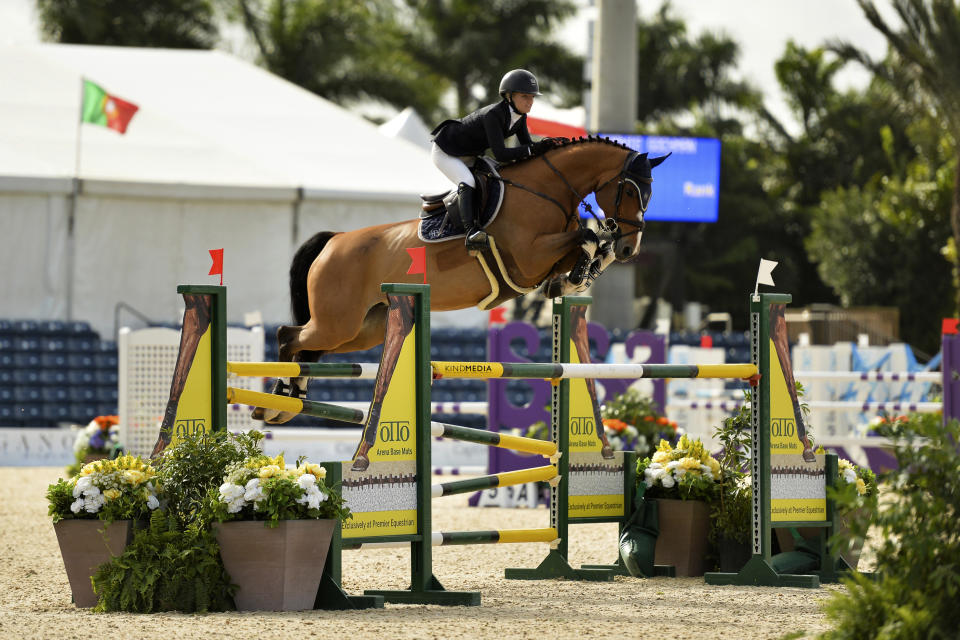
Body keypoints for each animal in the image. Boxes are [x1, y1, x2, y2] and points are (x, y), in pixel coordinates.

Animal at [253, 136, 668, 424]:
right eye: (629, 190)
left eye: (649, 193)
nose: (630, 247)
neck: (545, 191)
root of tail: (335, 240)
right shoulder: (528, 257)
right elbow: (585, 236)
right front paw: (579, 272)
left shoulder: (543, 260)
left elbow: (586, 245)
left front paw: (576, 278)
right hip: (338, 321)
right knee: (288, 337)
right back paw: (277, 401)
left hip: (361, 329)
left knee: (309, 349)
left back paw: (292, 399)